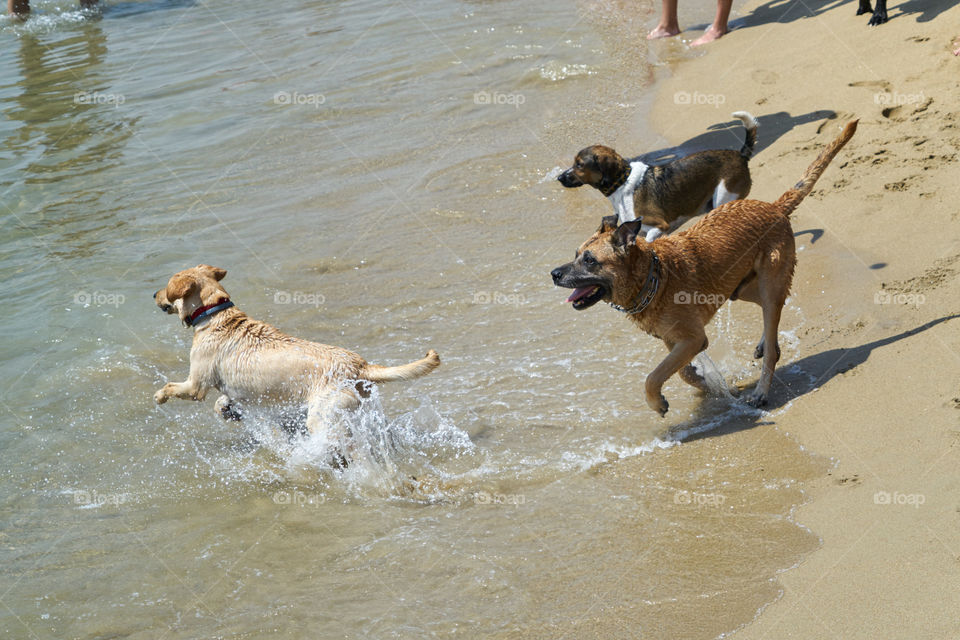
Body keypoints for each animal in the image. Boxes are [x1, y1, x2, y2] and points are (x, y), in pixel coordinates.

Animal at [154, 262, 442, 438]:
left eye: (167, 287)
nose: (154, 294)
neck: (214, 312)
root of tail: (358, 365)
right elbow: (220, 403)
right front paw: (229, 412)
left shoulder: (196, 385)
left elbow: (172, 387)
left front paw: (159, 396)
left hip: (323, 416)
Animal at [552, 120, 860, 416]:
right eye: (576, 254)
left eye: (590, 260)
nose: (554, 274)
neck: (653, 277)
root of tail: (773, 207)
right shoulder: (674, 340)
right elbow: (683, 373)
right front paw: (711, 387)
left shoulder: (692, 339)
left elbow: (653, 376)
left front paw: (657, 403)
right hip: (741, 288)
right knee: (771, 315)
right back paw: (764, 344)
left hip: (767, 279)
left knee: (773, 334)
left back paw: (761, 391)